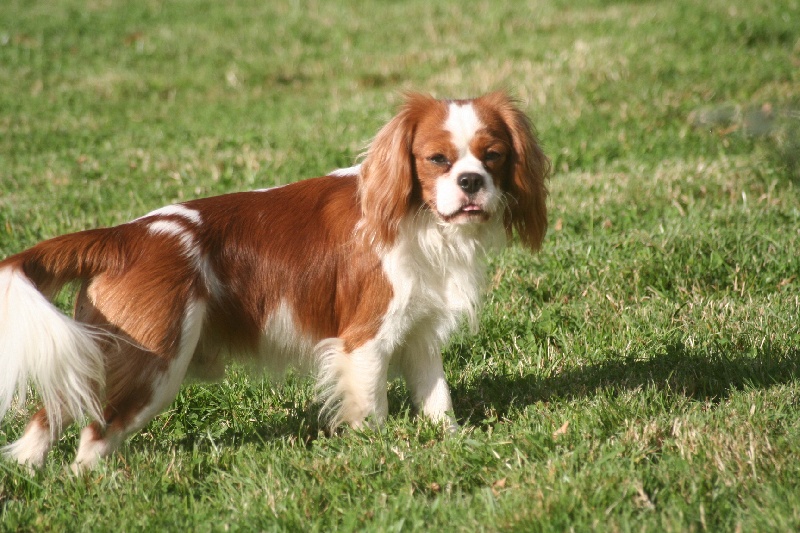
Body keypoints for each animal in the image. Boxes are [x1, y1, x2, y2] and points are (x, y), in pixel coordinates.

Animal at [0, 92, 552, 470]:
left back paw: (27, 468)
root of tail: (124, 236)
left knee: (53, 413)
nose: (471, 182)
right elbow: (371, 406)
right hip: (153, 362)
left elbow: (437, 396)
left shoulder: (418, 333)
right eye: (438, 160)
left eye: (493, 156)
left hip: (107, 352)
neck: (420, 220)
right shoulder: (364, 340)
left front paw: (452, 440)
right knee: (93, 438)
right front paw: (378, 453)